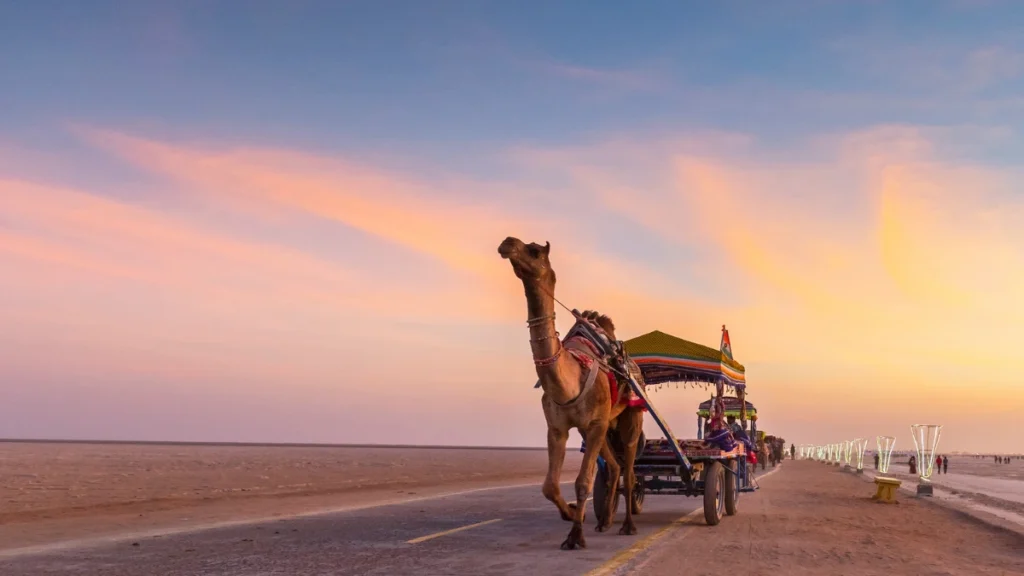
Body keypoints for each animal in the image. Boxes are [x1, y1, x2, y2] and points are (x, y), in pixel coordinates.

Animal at [499, 236, 643, 545]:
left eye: (534, 251)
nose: (507, 242)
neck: (570, 381)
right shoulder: (558, 427)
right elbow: (549, 486)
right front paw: (574, 514)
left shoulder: (596, 422)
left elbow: (582, 482)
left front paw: (575, 536)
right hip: (600, 426)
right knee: (614, 468)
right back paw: (605, 521)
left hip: (630, 416)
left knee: (629, 470)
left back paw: (628, 525)